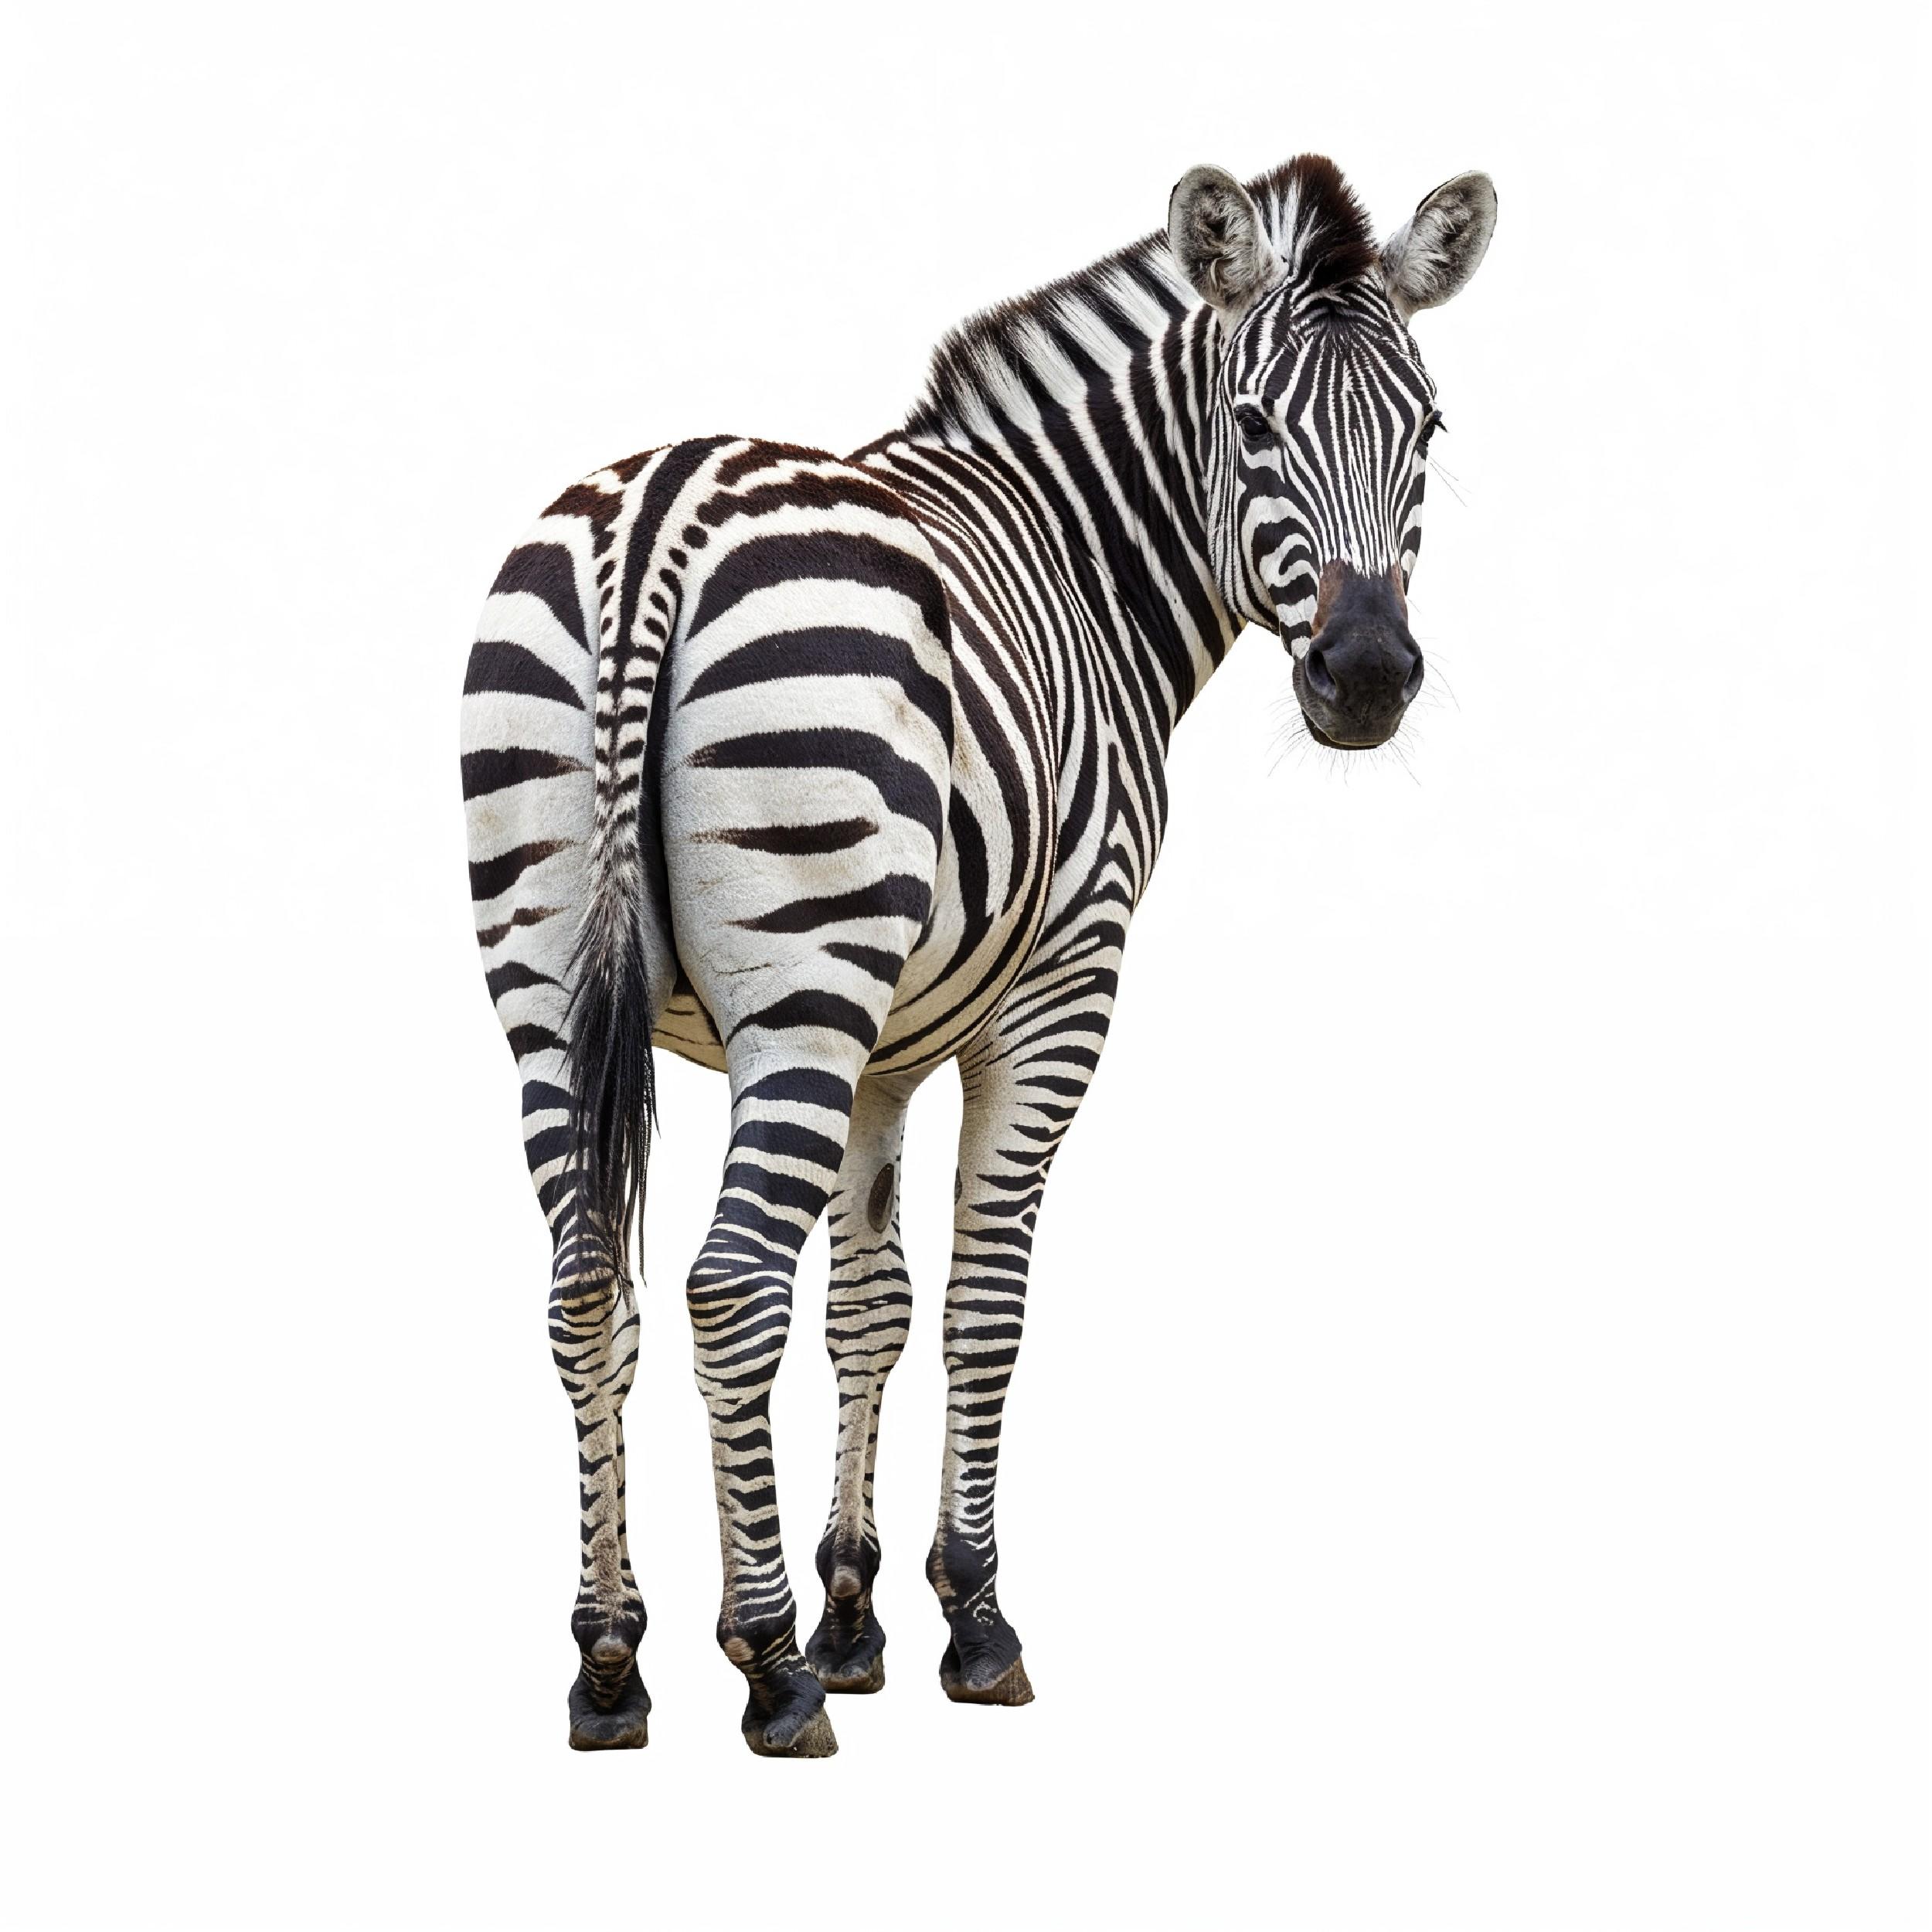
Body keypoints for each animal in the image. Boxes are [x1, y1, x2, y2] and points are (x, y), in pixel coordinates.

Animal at [461, 151, 1496, 1756]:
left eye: (1429, 432)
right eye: (1253, 423)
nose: (1370, 680)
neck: (1083, 557)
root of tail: (658, 521)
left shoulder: (887, 1047)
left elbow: (871, 1309)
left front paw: (857, 1612)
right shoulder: (1058, 989)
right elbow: (982, 1305)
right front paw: (967, 1620)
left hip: (549, 985)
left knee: (589, 1289)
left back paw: (612, 1661)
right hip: (802, 991)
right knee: (728, 1288)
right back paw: (764, 1668)